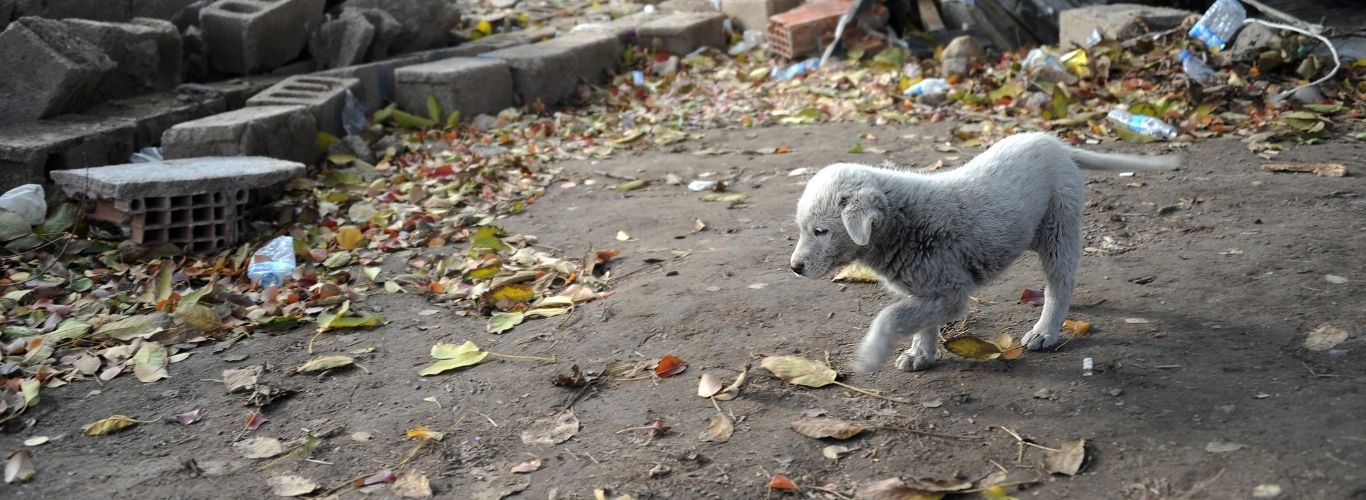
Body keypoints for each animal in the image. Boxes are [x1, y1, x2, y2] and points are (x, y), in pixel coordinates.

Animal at [786, 132, 1180, 371]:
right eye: (803, 229)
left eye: (820, 231)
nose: (795, 267)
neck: (900, 222)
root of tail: (1055, 143)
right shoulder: (926, 289)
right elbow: (917, 320)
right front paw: (920, 355)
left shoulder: (951, 290)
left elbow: (891, 317)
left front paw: (870, 355)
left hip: (1059, 223)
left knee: (1060, 281)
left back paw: (1045, 331)